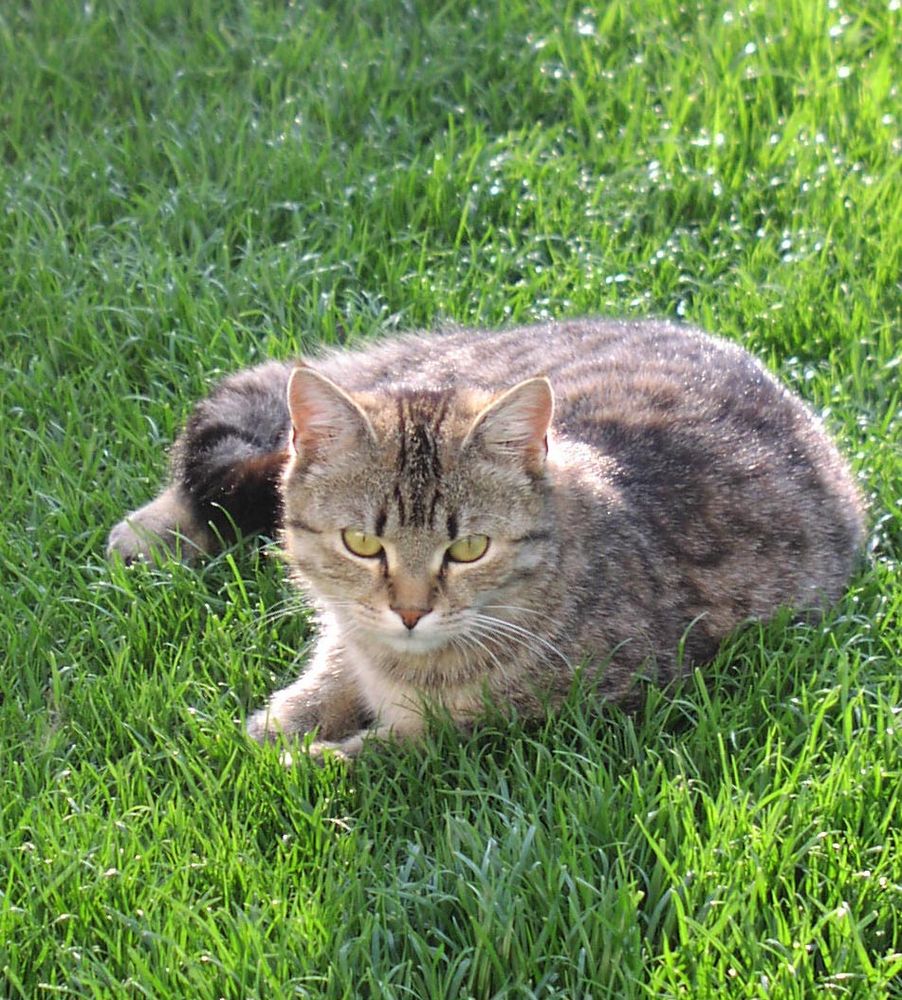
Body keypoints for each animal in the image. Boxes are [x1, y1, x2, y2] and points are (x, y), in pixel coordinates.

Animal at [107, 320, 868, 756]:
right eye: (361, 543)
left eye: (469, 549)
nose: (410, 610)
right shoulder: (347, 630)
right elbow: (328, 667)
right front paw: (285, 720)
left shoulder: (548, 718)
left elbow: (396, 748)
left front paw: (311, 756)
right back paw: (147, 533)